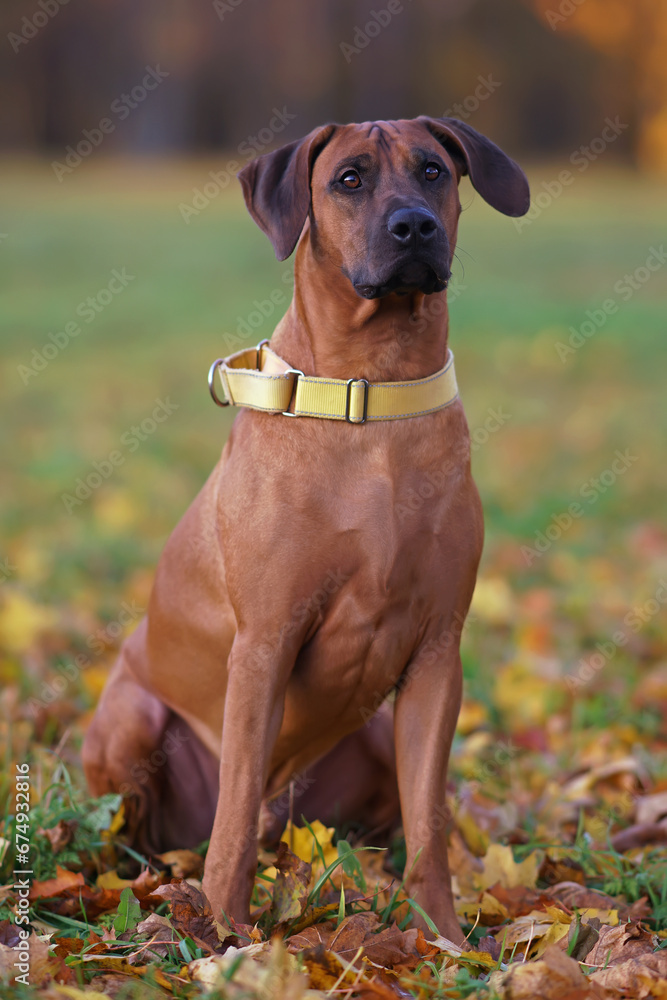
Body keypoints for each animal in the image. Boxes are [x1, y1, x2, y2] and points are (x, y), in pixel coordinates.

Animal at [83, 119, 528, 944]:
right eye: (348, 179)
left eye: (432, 170)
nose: (412, 226)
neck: (372, 391)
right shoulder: (264, 643)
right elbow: (229, 824)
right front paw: (228, 939)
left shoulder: (437, 653)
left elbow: (430, 825)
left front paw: (445, 941)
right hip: (131, 719)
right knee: (163, 829)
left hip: (373, 737)